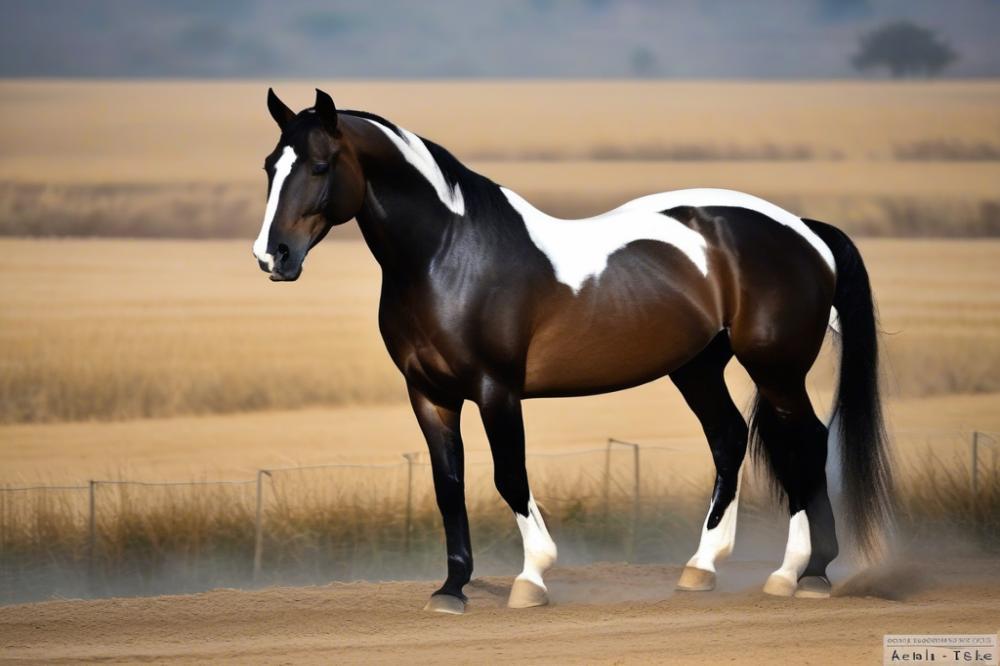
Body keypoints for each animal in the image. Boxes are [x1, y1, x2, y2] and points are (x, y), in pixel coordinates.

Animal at [250, 88, 892, 612]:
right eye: (269, 167)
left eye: (320, 165)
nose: (272, 256)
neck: (448, 256)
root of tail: (802, 229)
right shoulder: (429, 395)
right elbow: (448, 485)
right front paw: (452, 589)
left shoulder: (496, 391)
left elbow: (510, 476)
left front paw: (531, 578)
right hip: (698, 368)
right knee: (733, 439)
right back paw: (704, 568)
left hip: (776, 368)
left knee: (806, 442)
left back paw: (803, 574)